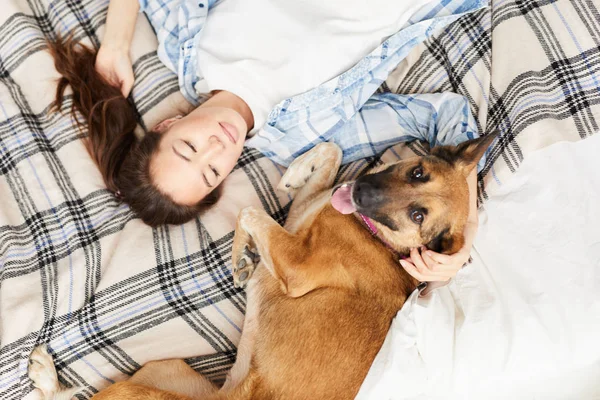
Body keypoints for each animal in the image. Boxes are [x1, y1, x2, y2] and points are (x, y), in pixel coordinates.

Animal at [28, 135, 494, 400]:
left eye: (418, 215)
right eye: (417, 172)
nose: (360, 191)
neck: (378, 236)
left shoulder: (295, 264)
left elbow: (250, 212)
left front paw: (242, 254)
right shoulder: (298, 216)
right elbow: (329, 153)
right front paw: (295, 172)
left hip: (134, 387)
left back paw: (45, 376)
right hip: (166, 369)